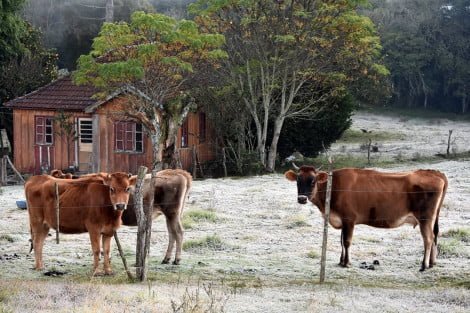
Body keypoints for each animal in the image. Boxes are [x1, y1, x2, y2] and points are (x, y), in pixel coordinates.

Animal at [282, 163, 448, 270]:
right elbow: (341, 241)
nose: (302, 198)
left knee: (428, 238)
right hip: (433, 218)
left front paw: (347, 263)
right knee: (435, 236)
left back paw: (424, 265)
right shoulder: (343, 220)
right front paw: (341, 261)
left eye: (313, 181)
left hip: (425, 217)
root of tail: (435, 173)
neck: (333, 186)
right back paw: (432, 263)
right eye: (298, 181)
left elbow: (347, 241)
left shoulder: (349, 218)